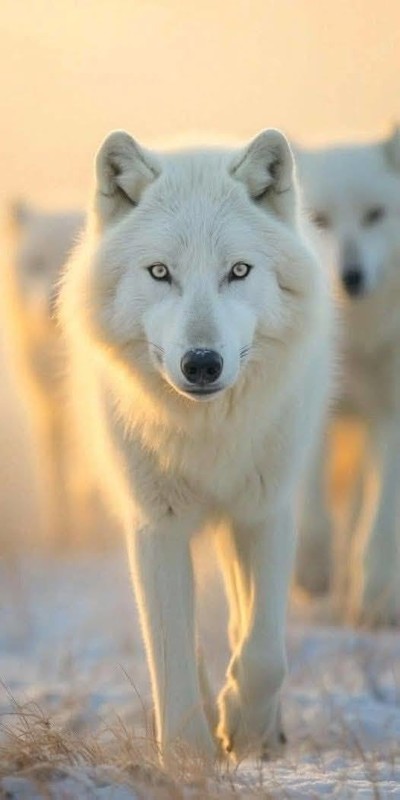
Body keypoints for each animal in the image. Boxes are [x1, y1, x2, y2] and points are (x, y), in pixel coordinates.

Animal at [59, 129, 331, 761]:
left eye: (239, 270)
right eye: (160, 272)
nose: (202, 364)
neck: (207, 436)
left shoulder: (265, 512)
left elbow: (264, 653)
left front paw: (246, 729)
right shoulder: (154, 525)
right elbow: (172, 656)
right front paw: (188, 759)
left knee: (239, 626)